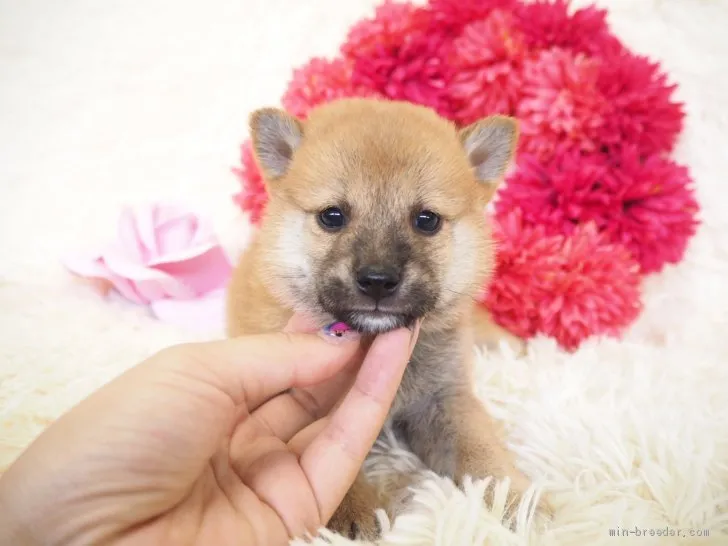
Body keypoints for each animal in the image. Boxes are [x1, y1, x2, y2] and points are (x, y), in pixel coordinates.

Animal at [229, 96, 544, 536]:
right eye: (332, 216)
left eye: (426, 220)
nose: (377, 280)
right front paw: (350, 511)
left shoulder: (445, 400)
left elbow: (482, 452)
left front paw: (518, 501)